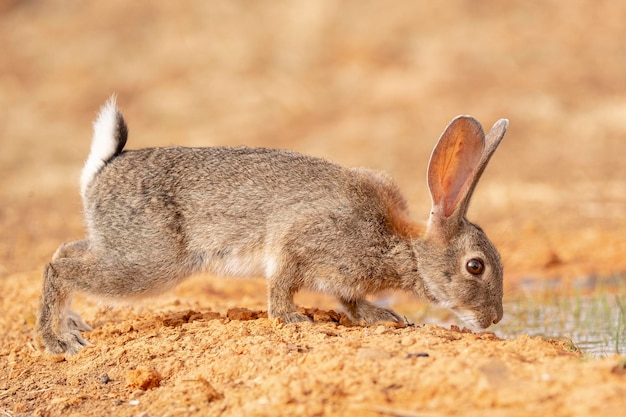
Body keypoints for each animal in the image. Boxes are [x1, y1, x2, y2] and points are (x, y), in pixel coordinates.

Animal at [35, 96, 508, 352]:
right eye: (476, 266)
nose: (494, 319)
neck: (402, 245)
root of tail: (102, 169)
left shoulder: (342, 276)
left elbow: (351, 301)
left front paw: (382, 317)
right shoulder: (299, 242)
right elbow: (282, 285)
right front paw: (294, 320)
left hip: (120, 247)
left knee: (65, 251)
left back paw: (72, 324)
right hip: (150, 262)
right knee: (58, 267)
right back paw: (57, 341)